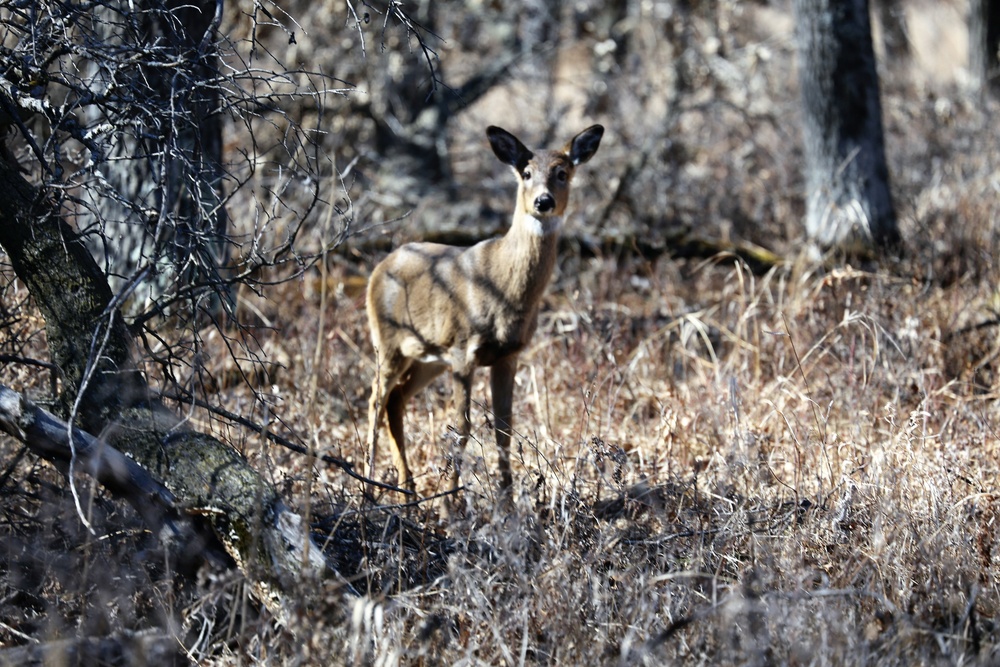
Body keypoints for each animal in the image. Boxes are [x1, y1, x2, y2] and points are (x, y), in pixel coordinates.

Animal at [366, 125, 600, 500]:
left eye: (562, 172)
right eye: (526, 173)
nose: (543, 201)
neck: (504, 286)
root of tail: (380, 267)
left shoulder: (508, 355)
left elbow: (505, 429)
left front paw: (507, 503)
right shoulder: (464, 350)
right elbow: (461, 426)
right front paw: (452, 501)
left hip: (428, 357)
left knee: (396, 400)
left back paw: (408, 492)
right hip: (387, 342)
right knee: (376, 399)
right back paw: (369, 485)